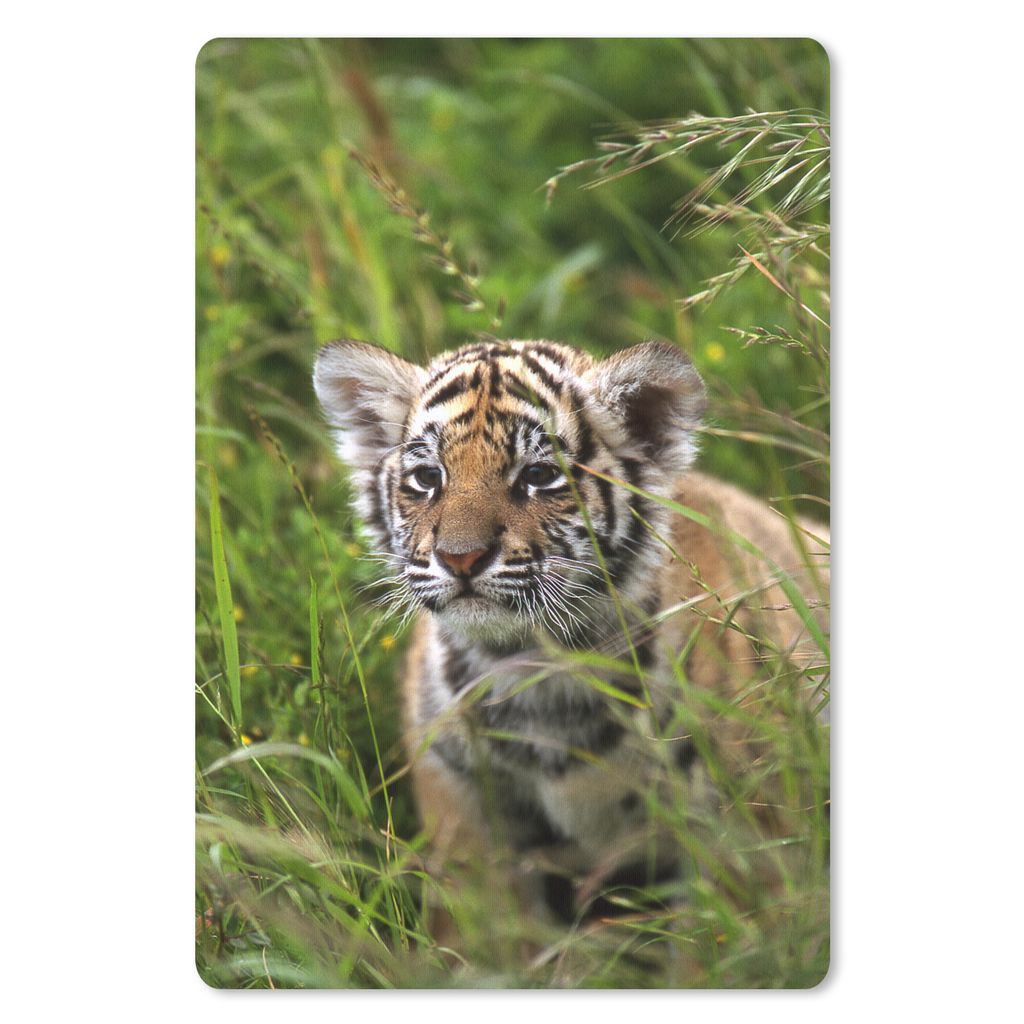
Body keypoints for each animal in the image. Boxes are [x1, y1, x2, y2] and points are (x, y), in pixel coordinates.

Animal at [313, 337, 829, 929]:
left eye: (539, 476)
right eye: (428, 478)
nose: (459, 557)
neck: (535, 669)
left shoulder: (741, 827)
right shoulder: (463, 813)